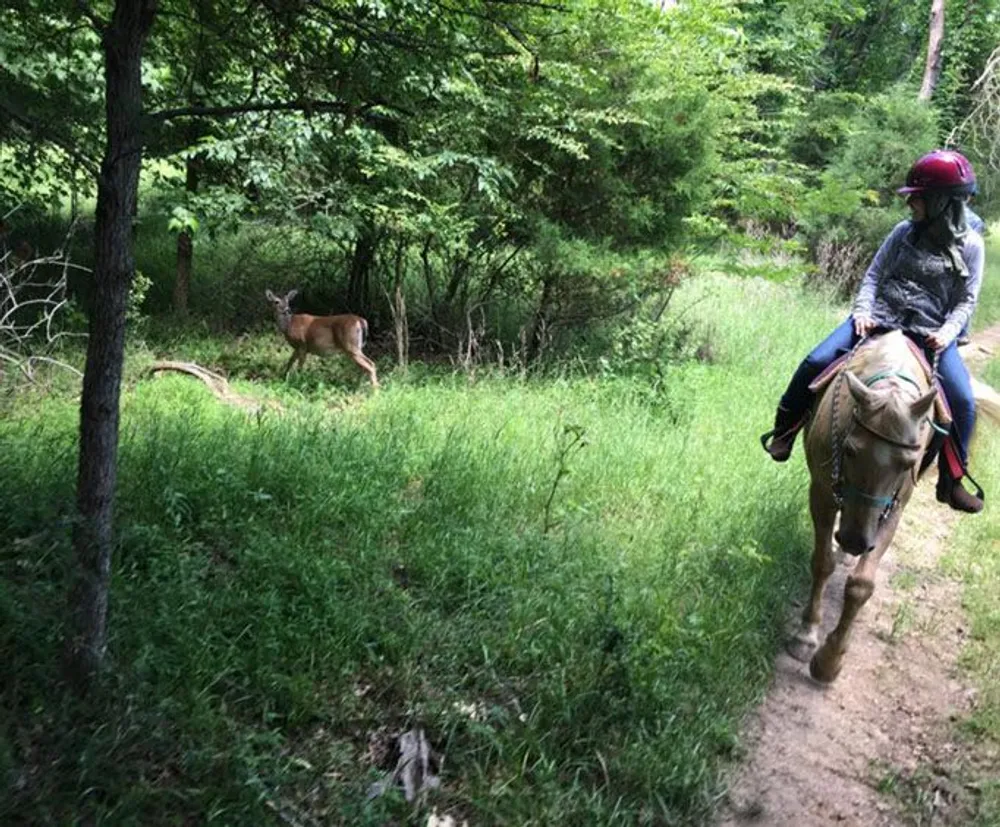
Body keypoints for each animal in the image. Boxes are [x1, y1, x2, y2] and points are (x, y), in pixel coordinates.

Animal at [788, 332, 944, 684]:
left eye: (908, 464)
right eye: (849, 450)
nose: (856, 541)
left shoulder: (892, 510)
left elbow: (861, 585)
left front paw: (830, 661)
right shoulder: (821, 493)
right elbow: (822, 563)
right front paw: (806, 636)